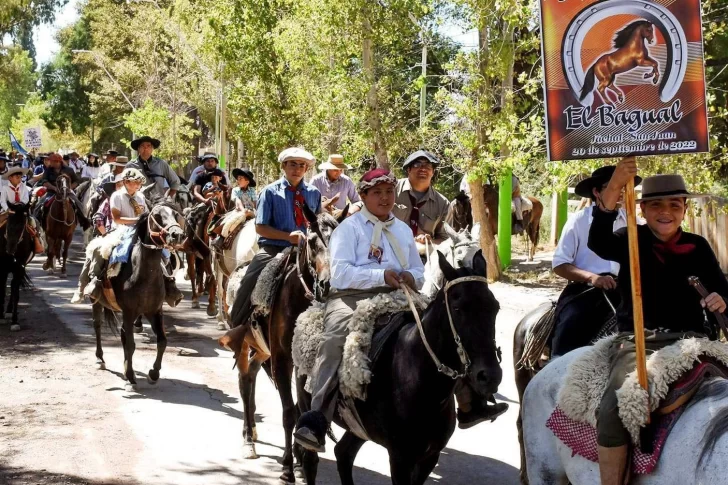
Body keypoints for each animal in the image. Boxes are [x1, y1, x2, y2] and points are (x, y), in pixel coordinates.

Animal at [218, 206, 346, 482]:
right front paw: (288, 466)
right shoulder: (283, 360)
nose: (327, 285)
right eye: (312, 241)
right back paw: (248, 440)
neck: (297, 299)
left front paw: (301, 459)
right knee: (244, 383)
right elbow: (289, 412)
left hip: (263, 351)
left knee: (252, 374)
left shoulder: (304, 363)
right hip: (246, 345)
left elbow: (301, 409)